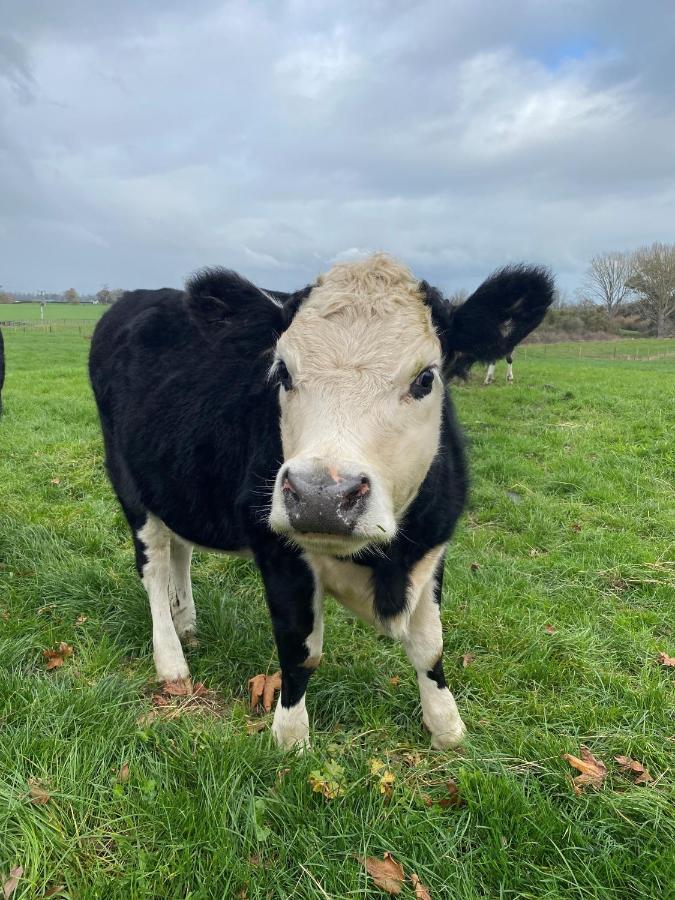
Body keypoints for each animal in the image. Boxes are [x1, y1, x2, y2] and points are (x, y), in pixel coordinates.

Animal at [90, 255, 556, 752]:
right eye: (283, 372)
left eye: (426, 378)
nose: (322, 497)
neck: (386, 564)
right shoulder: (278, 549)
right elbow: (300, 651)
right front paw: (291, 739)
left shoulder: (433, 546)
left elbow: (430, 645)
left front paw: (446, 727)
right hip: (128, 482)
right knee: (154, 566)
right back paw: (171, 658)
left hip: (177, 483)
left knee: (180, 550)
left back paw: (187, 622)